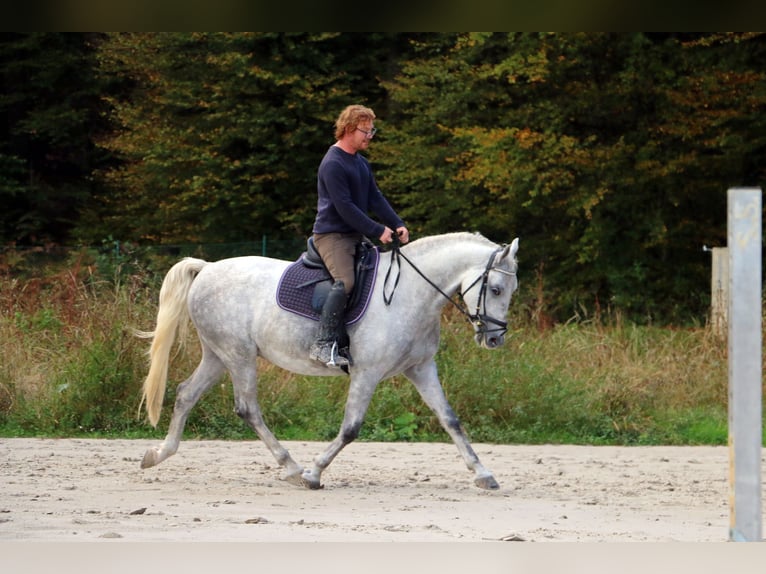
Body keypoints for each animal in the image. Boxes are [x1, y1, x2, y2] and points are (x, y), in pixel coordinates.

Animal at [138, 232, 520, 492]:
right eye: (496, 289)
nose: (494, 339)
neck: (411, 292)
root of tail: (207, 269)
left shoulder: (421, 368)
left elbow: (450, 420)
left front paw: (484, 474)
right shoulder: (368, 372)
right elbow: (351, 428)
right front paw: (313, 472)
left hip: (218, 355)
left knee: (186, 393)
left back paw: (158, 454)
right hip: (238, 355)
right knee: (247, 409)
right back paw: (292, 468)